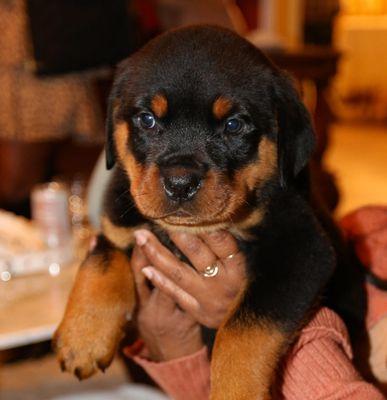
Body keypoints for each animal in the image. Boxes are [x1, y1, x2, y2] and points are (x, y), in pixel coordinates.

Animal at [53, 25, 338, 400]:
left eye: (233, 125)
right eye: (147, 120)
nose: (180, 183)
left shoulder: (302, 250)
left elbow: (244, 329)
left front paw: (236, 392)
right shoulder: (119, 226)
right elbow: (100, 261)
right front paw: (82, 338)